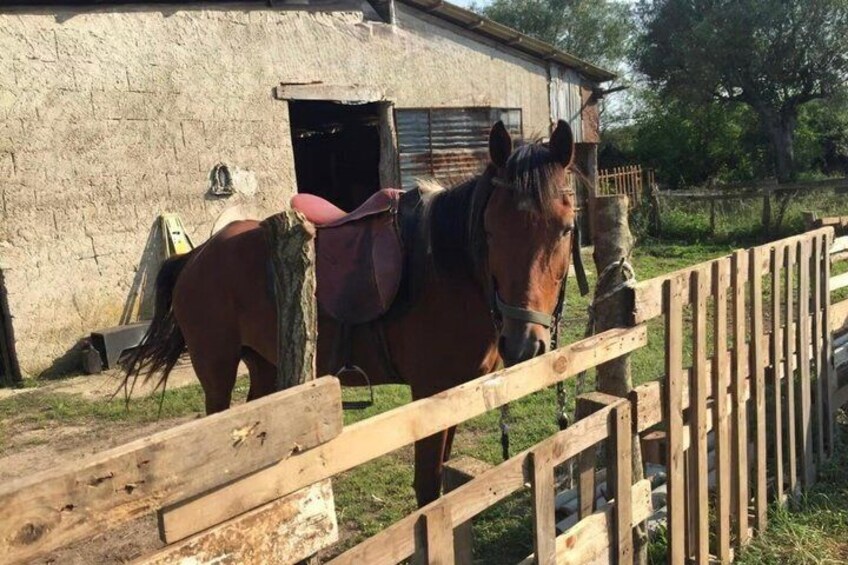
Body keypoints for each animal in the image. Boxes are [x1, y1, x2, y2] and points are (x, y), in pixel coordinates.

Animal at [122, 119, 579, 506]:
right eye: (490, 230)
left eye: (566, 229)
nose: (523, 344)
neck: (444, 270)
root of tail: (197, 256)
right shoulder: (429, 395)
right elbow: (428, 490)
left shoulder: (455, 395)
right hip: (216, 370)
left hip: (264, 365)